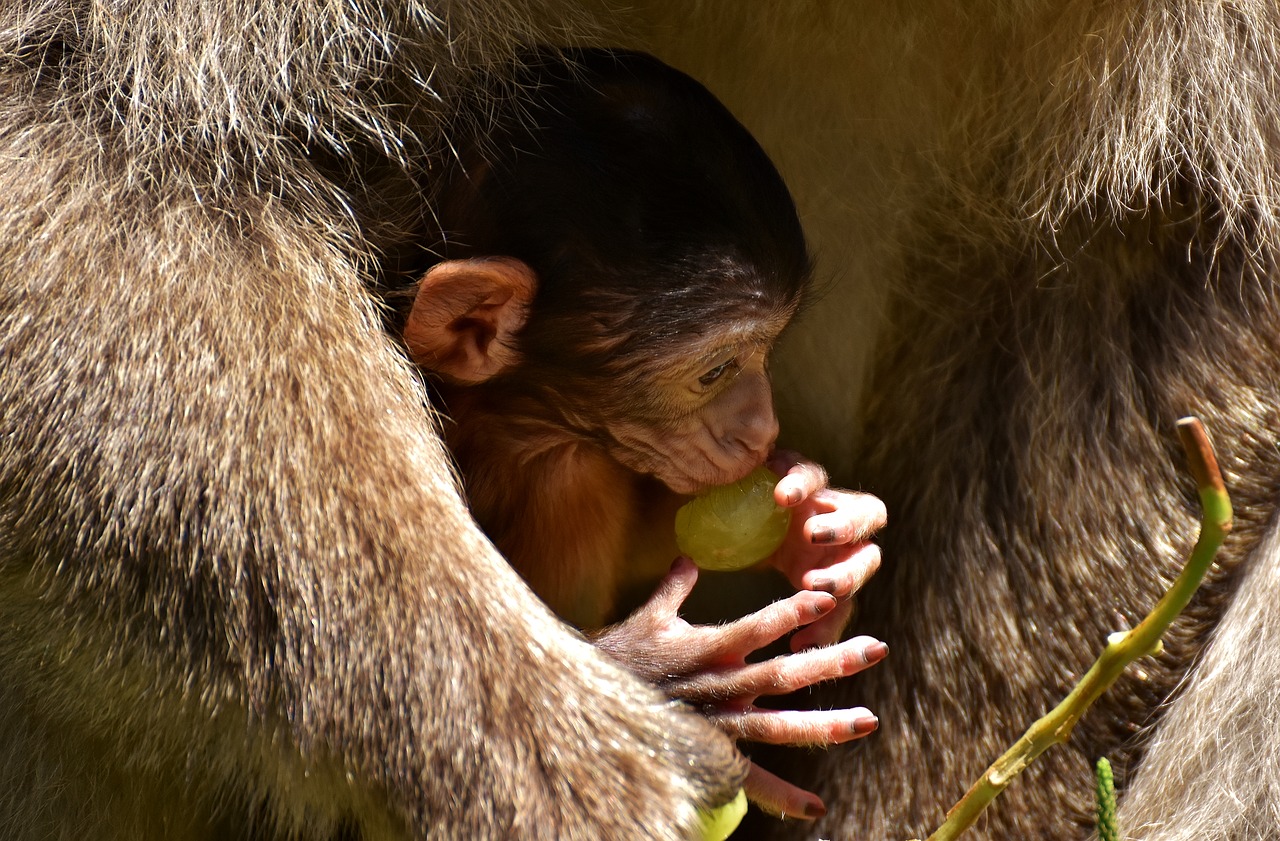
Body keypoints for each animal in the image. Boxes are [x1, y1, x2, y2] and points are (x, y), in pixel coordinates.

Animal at [399, 47, 890, 819]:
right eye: (717, 370)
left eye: (769, 349)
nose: (763, 430)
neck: (518, 422)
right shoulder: (561, 470)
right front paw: (679, 684)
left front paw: (816, 526)